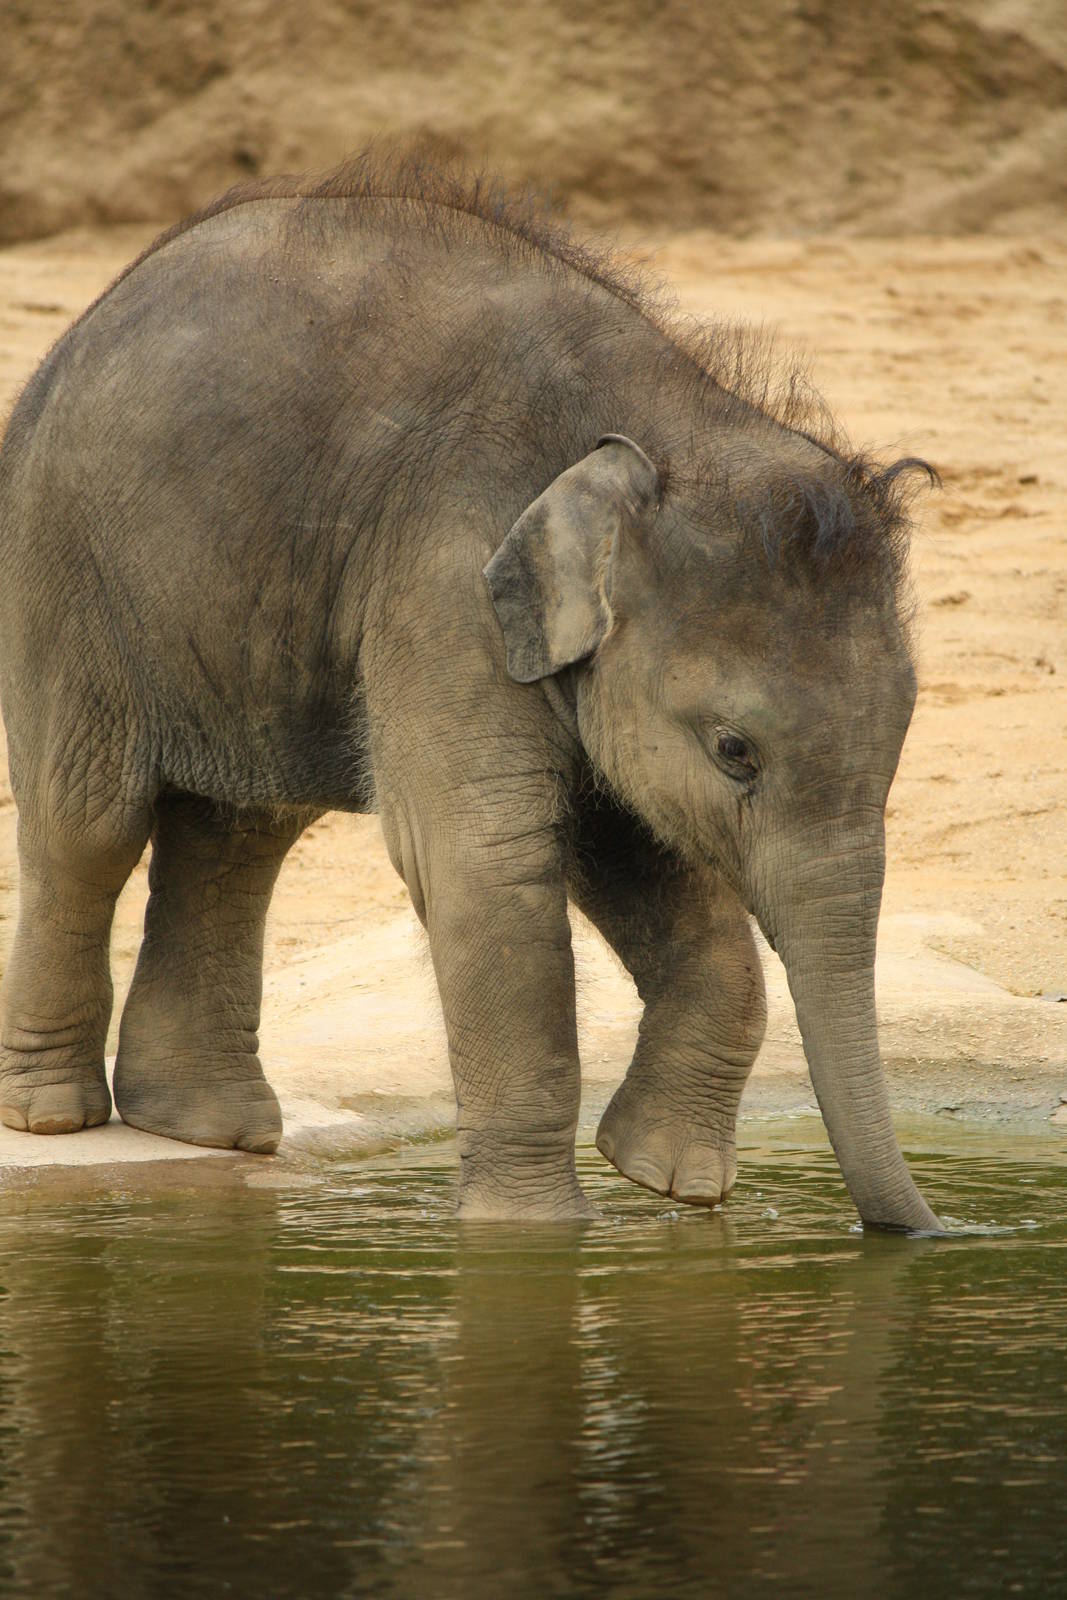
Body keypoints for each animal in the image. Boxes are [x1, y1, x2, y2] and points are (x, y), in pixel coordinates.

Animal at [0, 155, 940, 1230]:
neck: (664, 427)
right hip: (62, 576)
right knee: (89, 822)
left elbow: (629, 845)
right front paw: (534, 1233)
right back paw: (53, 1118)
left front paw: (663, 1178)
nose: (917, 1233)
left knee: (240, 829)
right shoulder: (443, 580)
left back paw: (206, 1130)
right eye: (733, 751)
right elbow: (488, 860)